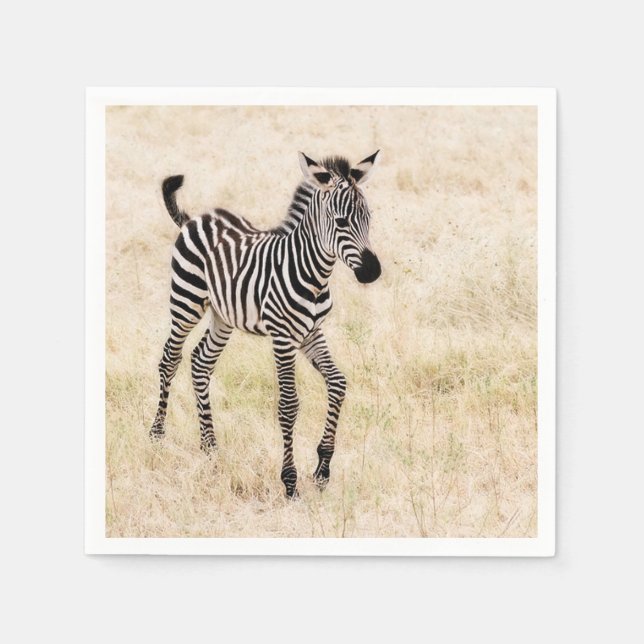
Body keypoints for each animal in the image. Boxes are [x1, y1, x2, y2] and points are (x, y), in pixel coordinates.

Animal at [150, 151, 382, 498]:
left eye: (369, 218)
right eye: (341, 222)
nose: (372, 272)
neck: (312, 274)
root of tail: (195, 219)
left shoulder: (311, 333)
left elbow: (338, 384)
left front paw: (323, 468)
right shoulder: (283, 338)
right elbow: (288, 404)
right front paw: (290, 482)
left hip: (223, 316)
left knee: (201, 362)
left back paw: (210, 447)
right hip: (186, 301)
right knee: (170, 359)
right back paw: (157, 434)